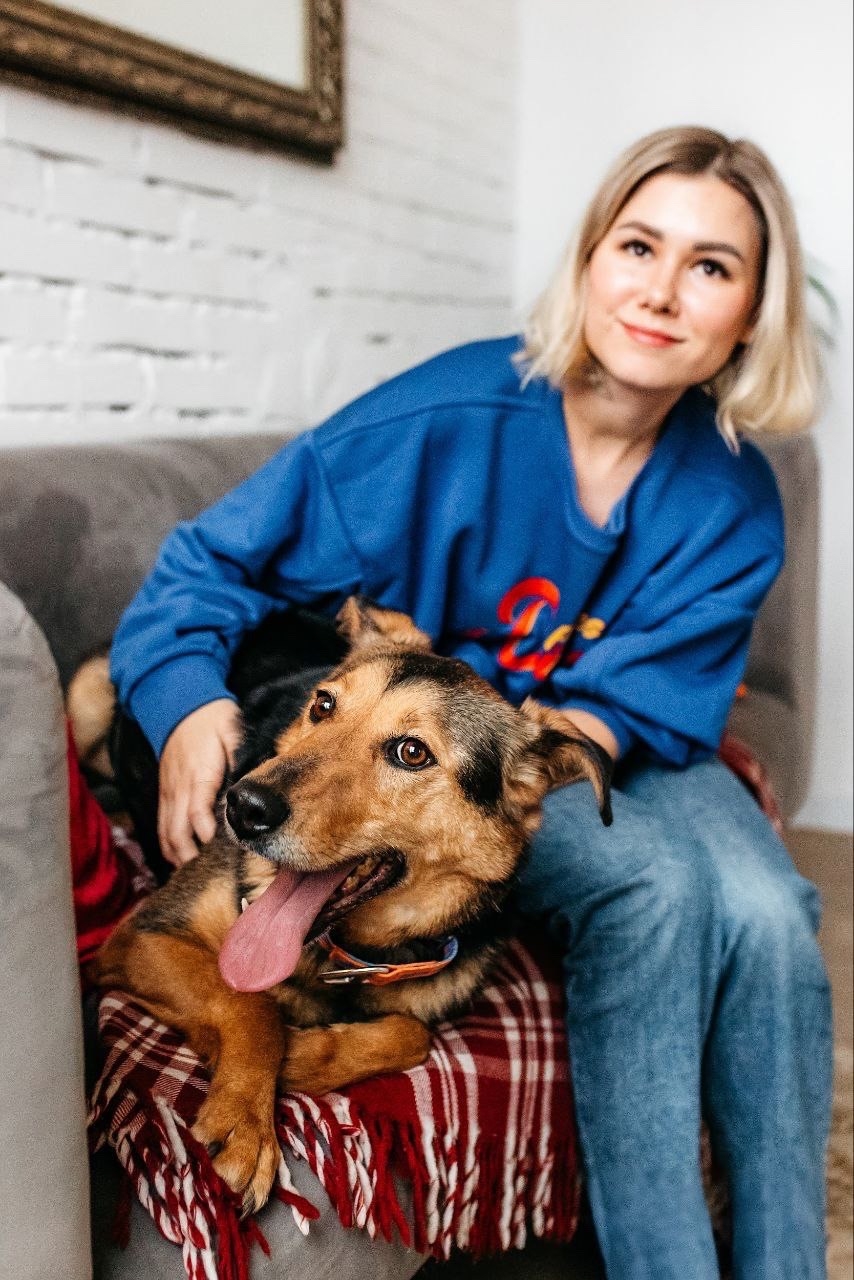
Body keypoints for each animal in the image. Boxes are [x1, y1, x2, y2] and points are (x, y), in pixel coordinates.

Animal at [71, 596, 612, 1213]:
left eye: (411, 752)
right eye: (323, 705)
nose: (242, 805)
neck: (344, 951)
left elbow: (410, 1032)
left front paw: (300, 1057)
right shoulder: (143, 934)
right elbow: (246, 1002)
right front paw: (246, 1120)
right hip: (86, 694)